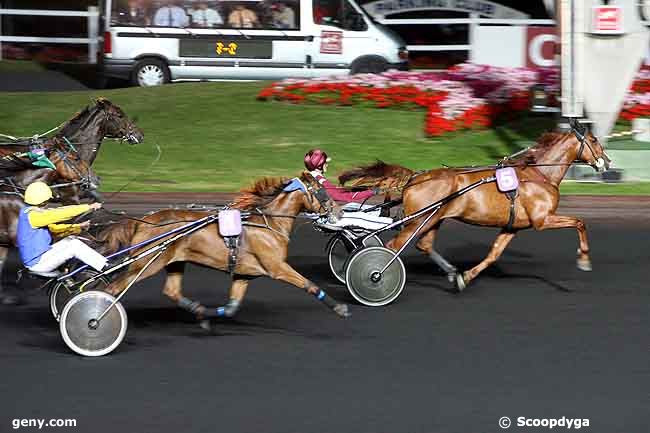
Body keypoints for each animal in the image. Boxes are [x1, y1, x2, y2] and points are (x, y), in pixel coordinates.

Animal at [97, 172, 350, 328]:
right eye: (322, 191)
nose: (339, 211)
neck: (270, 223)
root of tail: (142, 221)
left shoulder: (244, 273)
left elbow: (231, 307)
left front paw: (206, 315)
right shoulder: (277, 267)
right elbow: (309, 284)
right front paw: (340, 308)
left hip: (174, 261)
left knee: (171, 291)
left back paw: (197, 310)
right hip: (146, 263)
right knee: (112, 288)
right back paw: (98, 317)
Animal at [336, 127, 612, 290]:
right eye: (594, 140)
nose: (607, 162)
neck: (539, 175)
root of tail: (416, 177)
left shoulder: (512, 227)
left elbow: (493, 255)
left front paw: (465, 277)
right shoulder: (542, 220)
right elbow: (580, 222)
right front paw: (584, 259)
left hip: (433, 219)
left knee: (424, 244)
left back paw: (450, 271)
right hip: (418, 220)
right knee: (393, 247)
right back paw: (376, 275)